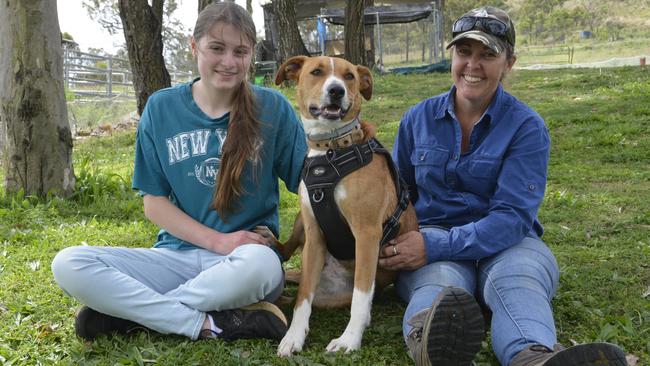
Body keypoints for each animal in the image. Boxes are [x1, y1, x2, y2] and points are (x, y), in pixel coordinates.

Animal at [272, 55, 416, 356]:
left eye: (349, 76)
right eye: (316, 72)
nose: (336, 90)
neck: (330, 151)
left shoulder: (367, 233)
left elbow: (361, 298)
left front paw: (349, 339)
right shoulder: (314, 234)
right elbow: (302, 298)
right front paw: (293, 337)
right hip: (301, 229)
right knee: (293, 276)